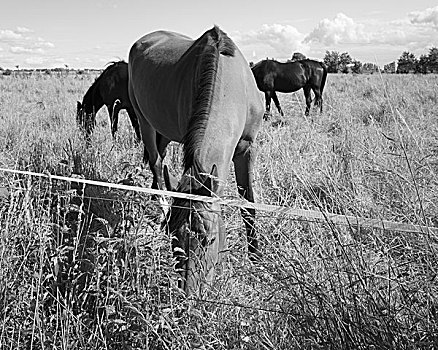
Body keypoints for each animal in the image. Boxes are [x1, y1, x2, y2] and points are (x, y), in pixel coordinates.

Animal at [127, 26, 264, 296]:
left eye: (210, 239)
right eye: (173, 240)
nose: (189, 296)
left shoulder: (246, 150)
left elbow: (249, 206)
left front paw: (257, 261)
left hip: (163, 132)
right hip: (144, 121)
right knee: (156, 165)